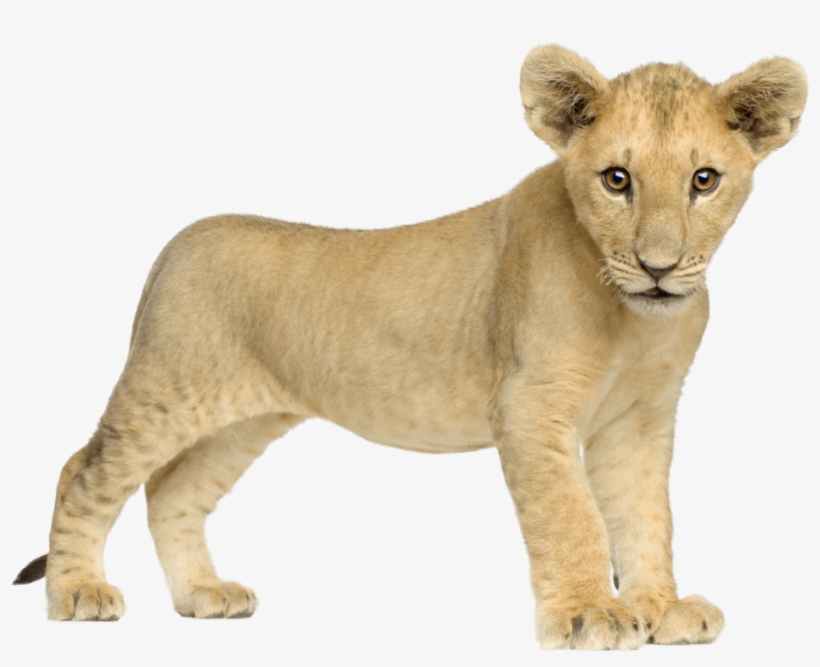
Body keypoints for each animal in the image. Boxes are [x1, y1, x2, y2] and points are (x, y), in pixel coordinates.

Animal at [13, 45, 806, 649]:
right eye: (617, 179)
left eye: (704, 180)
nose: (658, 267)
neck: (633, 317)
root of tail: (176, 242)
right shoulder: (530, 406)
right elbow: (571, 516)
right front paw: (590, 614)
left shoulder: (639, 421)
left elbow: (646, 517)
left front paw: (660, 609)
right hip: (167, 388)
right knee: (82, 472)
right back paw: (78, 593)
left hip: (243, 422)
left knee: (171, 491)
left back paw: (202, 594)